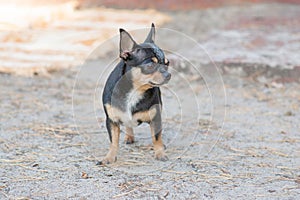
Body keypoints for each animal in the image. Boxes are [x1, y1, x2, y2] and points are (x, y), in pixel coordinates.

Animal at [98, 23, 171, 164]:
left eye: (167, 64)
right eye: (150, 65)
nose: (168, 74)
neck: (135, 90)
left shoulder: (156, 117)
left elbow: (156, 137)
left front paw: (160, 153)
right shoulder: (112, 121)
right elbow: (113, 141)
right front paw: (110, 157)